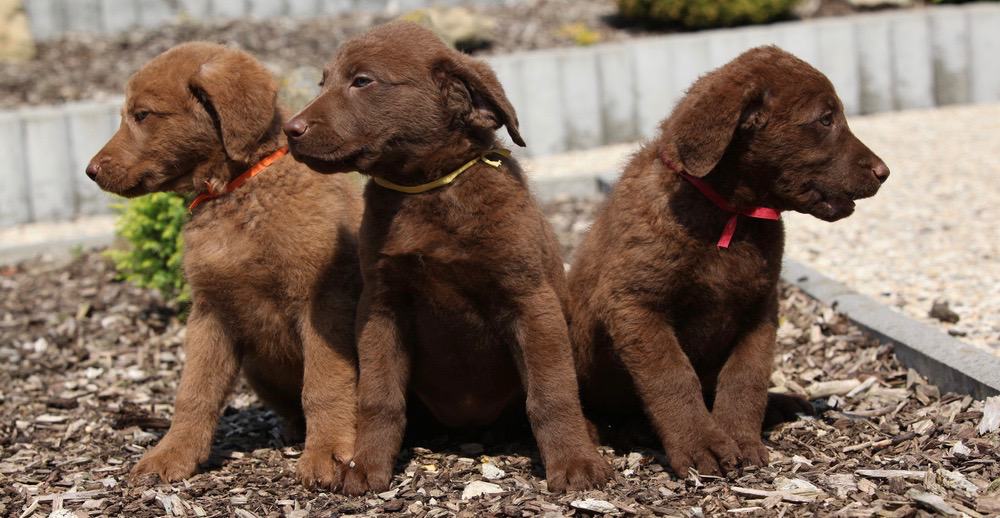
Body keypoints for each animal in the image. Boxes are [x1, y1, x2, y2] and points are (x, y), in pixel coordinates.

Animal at [84, 42, 362, 490]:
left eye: (142, 115)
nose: (90, 170)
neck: (237, 192)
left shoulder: (321, 303)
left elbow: (324, 384)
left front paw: (328, 454)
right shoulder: (209, 312)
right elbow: (193, 393)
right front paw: (172, 455)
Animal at [280, 22, 608, 498]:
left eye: (362, 81)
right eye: (324, 83)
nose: (290, 129)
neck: (429, 190)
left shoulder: (530, 299)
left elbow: (551, 393)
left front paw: (574, 462)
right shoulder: (382, 307)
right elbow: (379, 396)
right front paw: (366, 466)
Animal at [568, 47, 888, 480]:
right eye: (826, 119)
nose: (884, 172)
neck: (729, 215)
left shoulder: (760, 308)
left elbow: (745, 377)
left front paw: (739, 438)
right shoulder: (633, 304)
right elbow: (673, 375)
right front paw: (701, 444)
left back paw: (784, 403)